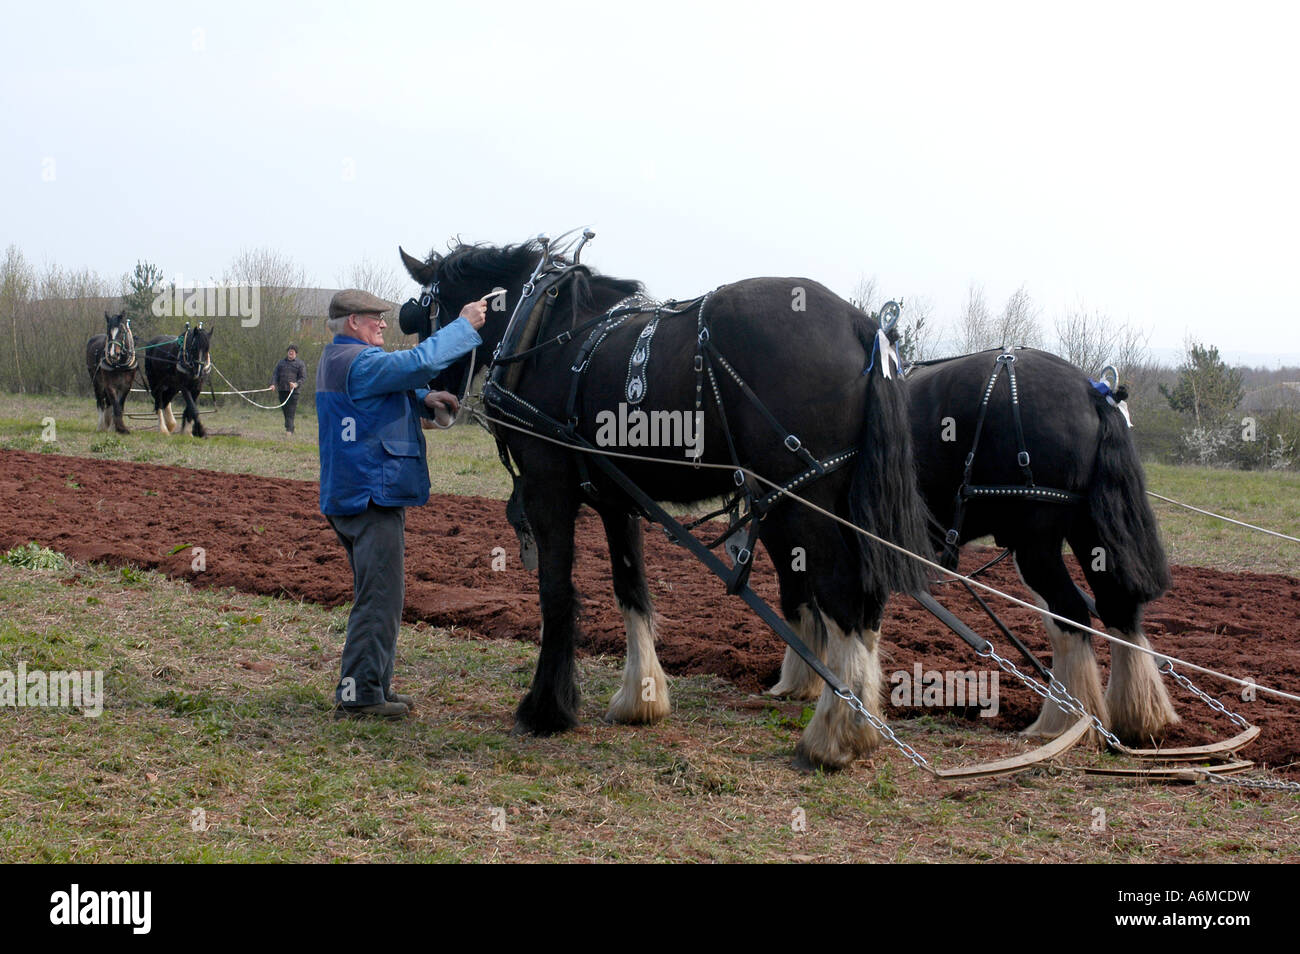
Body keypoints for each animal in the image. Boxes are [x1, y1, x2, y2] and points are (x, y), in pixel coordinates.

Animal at [400, 243, 930, 774]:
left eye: (420, 313)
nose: (434, 403)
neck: (540, 331)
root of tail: (863, 324)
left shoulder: (547, 486)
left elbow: (555, 594)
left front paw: (545, 709)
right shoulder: (616, 498)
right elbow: (631, 589)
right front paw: (640, 699)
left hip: (801, 498)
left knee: (844, 596)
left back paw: (834, 736)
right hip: (834, 502)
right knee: (869, 599)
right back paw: (855, 720)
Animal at [899, 350, 1175, 748]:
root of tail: (1095, 394)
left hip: (1035, 543)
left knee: (1069, 614)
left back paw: (1065, 722)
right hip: (1089, 532)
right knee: (1117, 608)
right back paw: (1136, 717)